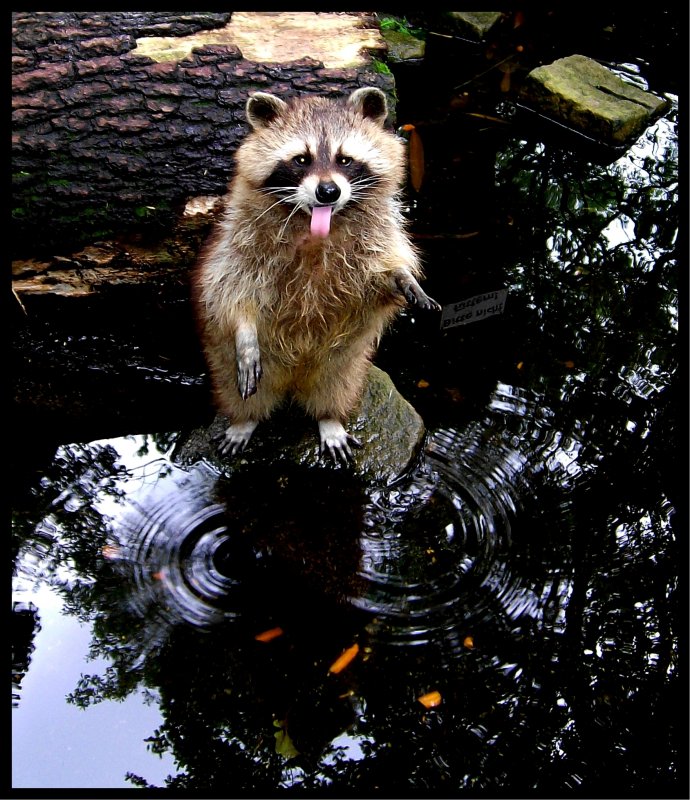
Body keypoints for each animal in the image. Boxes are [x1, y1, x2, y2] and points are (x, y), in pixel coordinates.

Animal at [194, 86, 438, 462]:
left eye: (345, 160)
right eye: (301, 160)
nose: (328, 191)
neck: (315, 225)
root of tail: (294, 382)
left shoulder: (376, 235)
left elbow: (379, 275)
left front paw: (401, 276)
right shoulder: (238, 237)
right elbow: (229, 287)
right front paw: (244, 330)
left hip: (348, 363)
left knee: (335, 385)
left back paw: (329, 418)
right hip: (227, 364)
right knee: (240, 391)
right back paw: (244, 420)